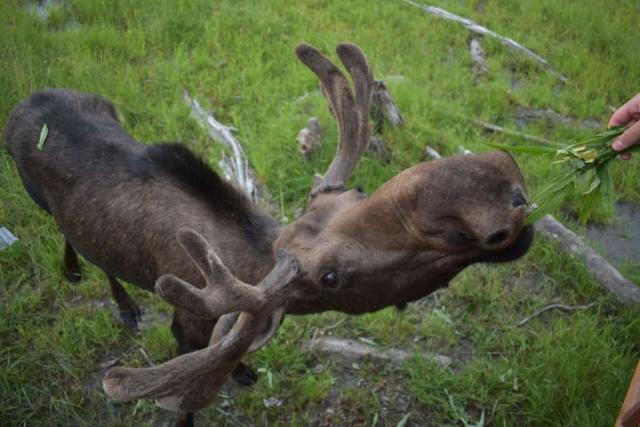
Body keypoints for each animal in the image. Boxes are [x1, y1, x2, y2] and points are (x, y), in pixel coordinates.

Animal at [4, 43, 533, 425]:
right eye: (329, 279)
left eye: (358, 191)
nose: (497, 184)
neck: (241, 262)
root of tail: (22, 103)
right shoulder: (187, 325)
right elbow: (188, 395)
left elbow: (231, 353)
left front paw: (244, 371)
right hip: (37, 198)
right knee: (74, 241)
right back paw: (114, 298)